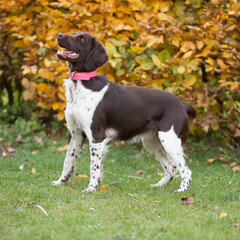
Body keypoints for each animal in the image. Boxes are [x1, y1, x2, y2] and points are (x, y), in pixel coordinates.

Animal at [51, 32, 196, 193]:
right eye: (74, 34)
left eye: (81, 38)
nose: (59, 35)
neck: (81, 84)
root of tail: (182, 104)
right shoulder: (75, 133)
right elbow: (67, 161)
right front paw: (61, 182)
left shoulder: (96, 135)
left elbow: (93, 167)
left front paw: (91, 188)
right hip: (152, 143)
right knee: (171, 168)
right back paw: (157, 186)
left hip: (170, 139)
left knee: (186, 170)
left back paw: (181, 190)